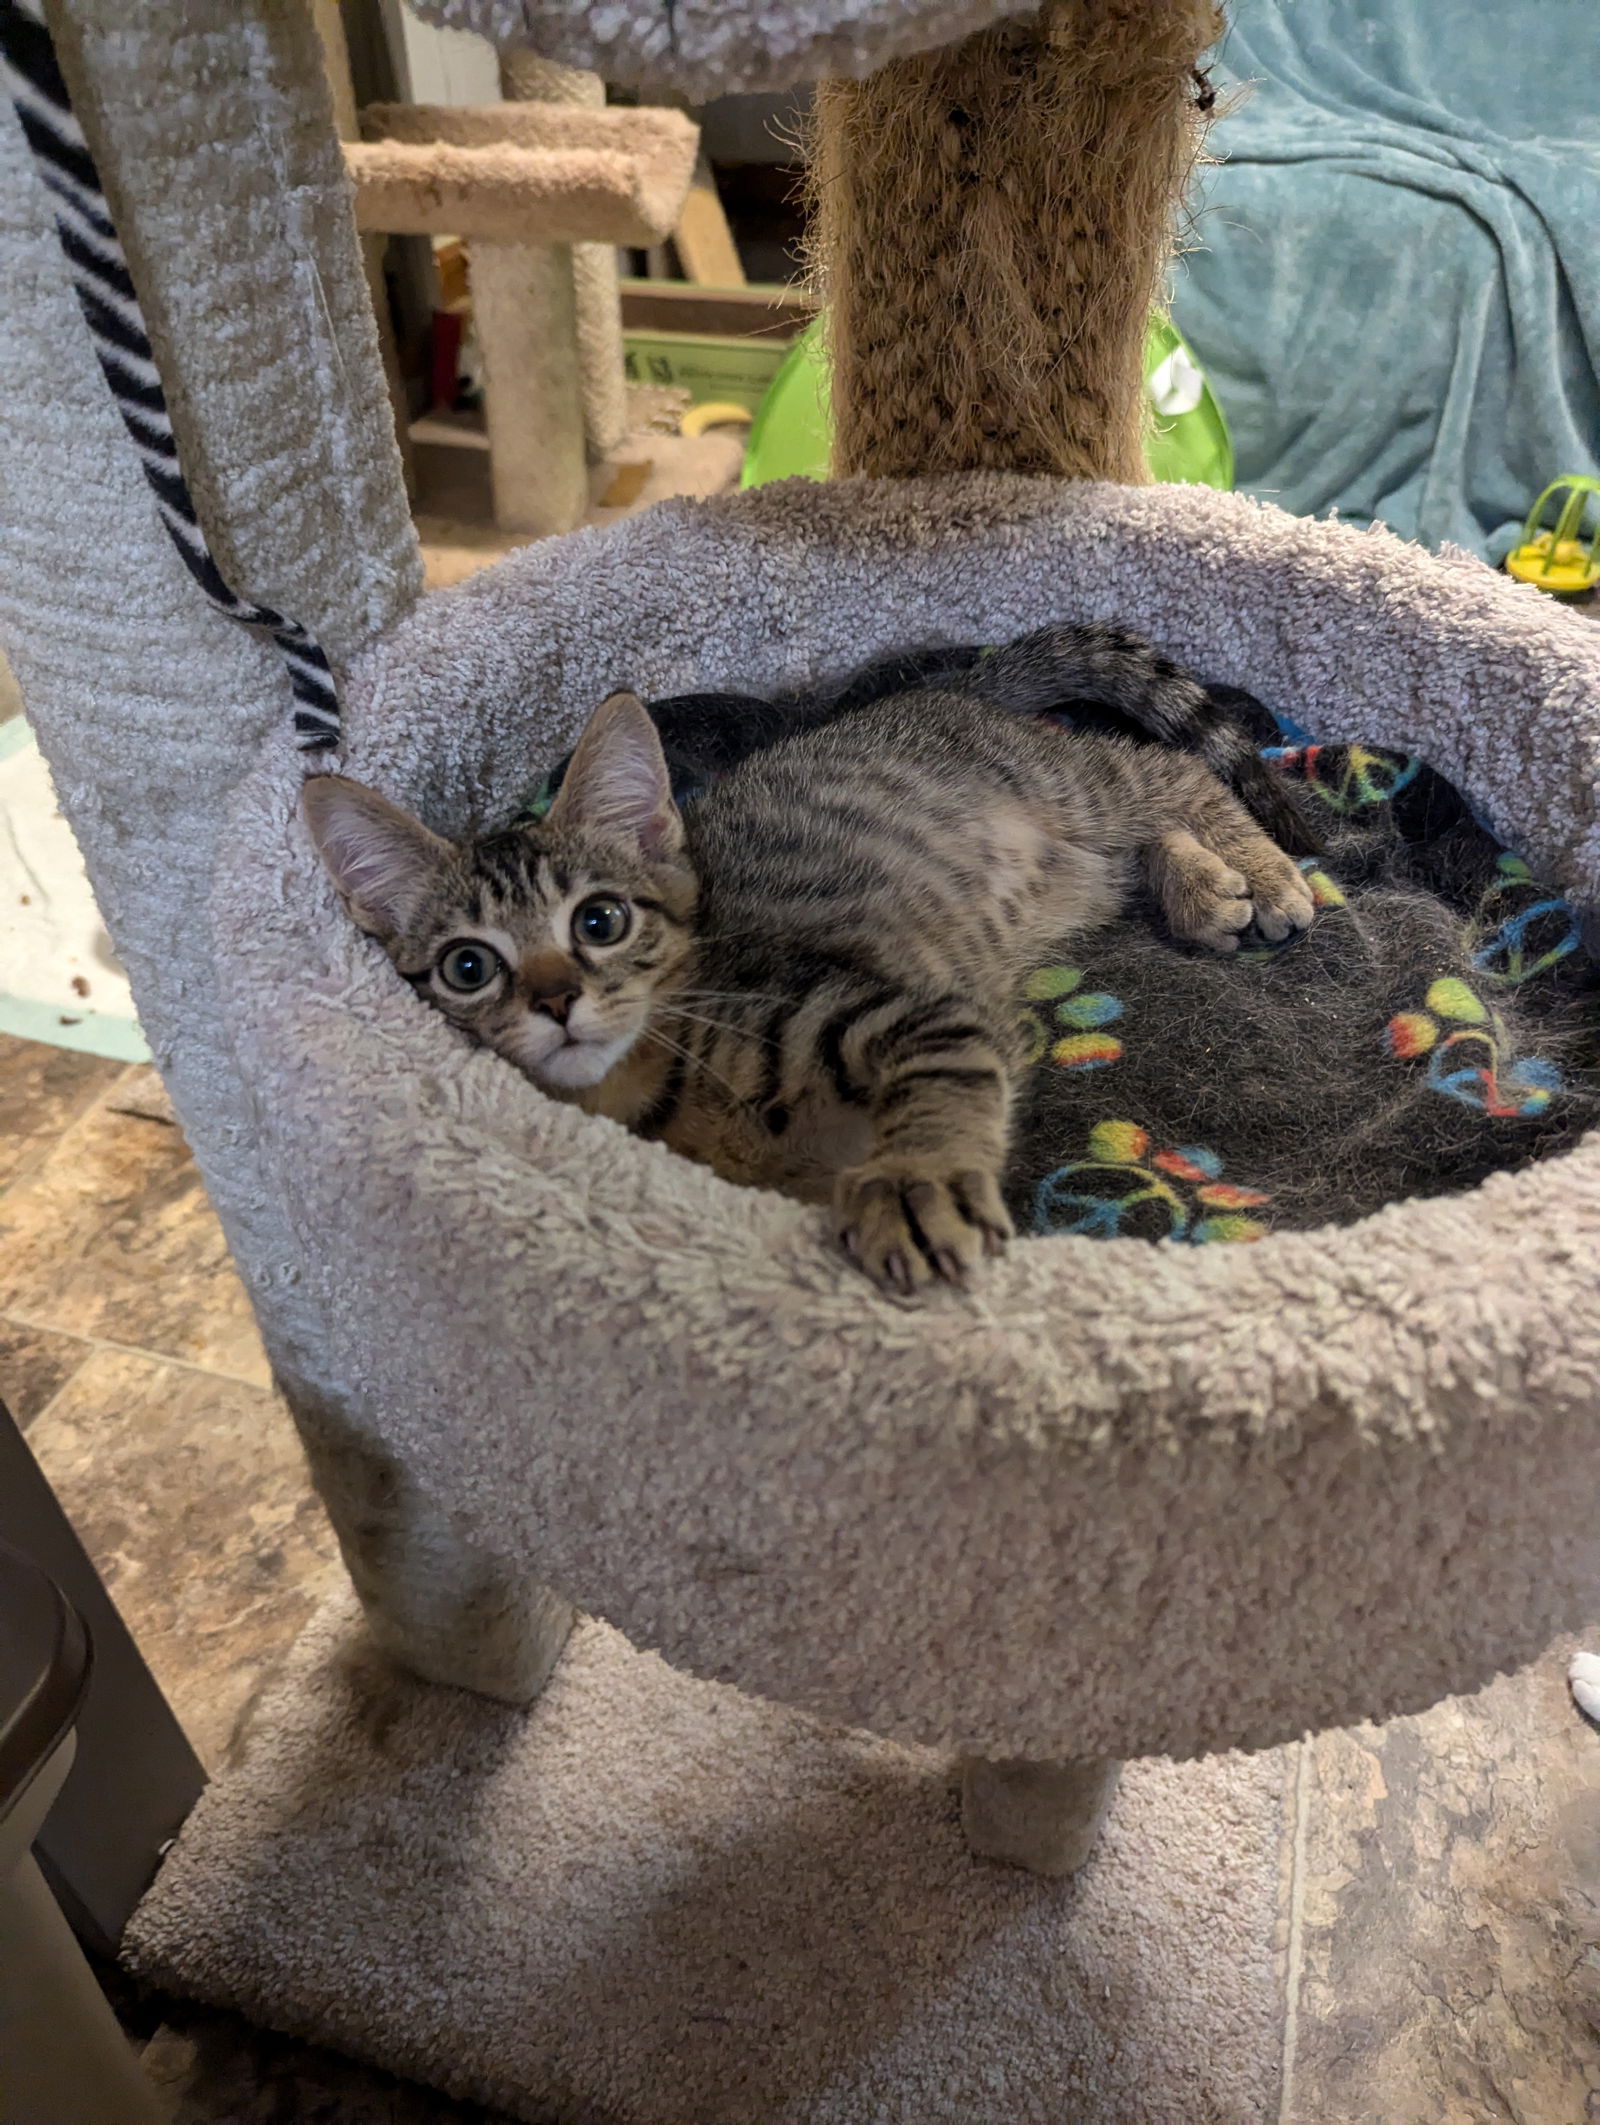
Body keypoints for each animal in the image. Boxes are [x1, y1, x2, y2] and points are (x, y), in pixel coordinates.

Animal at [301, 680, 1308, 1283]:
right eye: (468, 967)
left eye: (600, 921)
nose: (555, 1002)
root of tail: (951, 689)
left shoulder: (902, 1013)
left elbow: (943, 1085)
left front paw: (916, 1184)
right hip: (1076, 865)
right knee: (1134, 846)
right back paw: (1201, 888)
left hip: (1069, 784)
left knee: (1171, 772)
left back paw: (1265, 872)